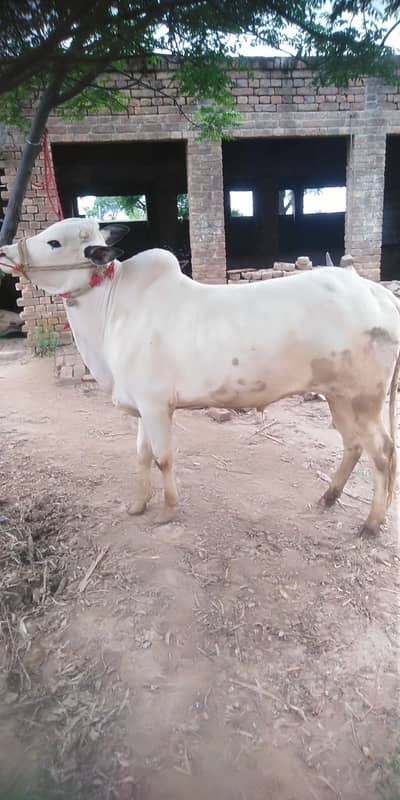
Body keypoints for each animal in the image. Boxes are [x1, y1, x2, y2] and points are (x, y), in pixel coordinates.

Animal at [1, 218, 399, 536]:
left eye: (54, 242)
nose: (4, 250)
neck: (111, 313)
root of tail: (377, 292)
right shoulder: (141, 407)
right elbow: (142, 456)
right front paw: (137, 505)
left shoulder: (156, 406)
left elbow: (163, 458)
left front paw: (166, 511)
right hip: (337, 395)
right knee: (353, 445)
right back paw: (328, 497)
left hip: (365, 399)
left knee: (382, 452)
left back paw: (371, 523)